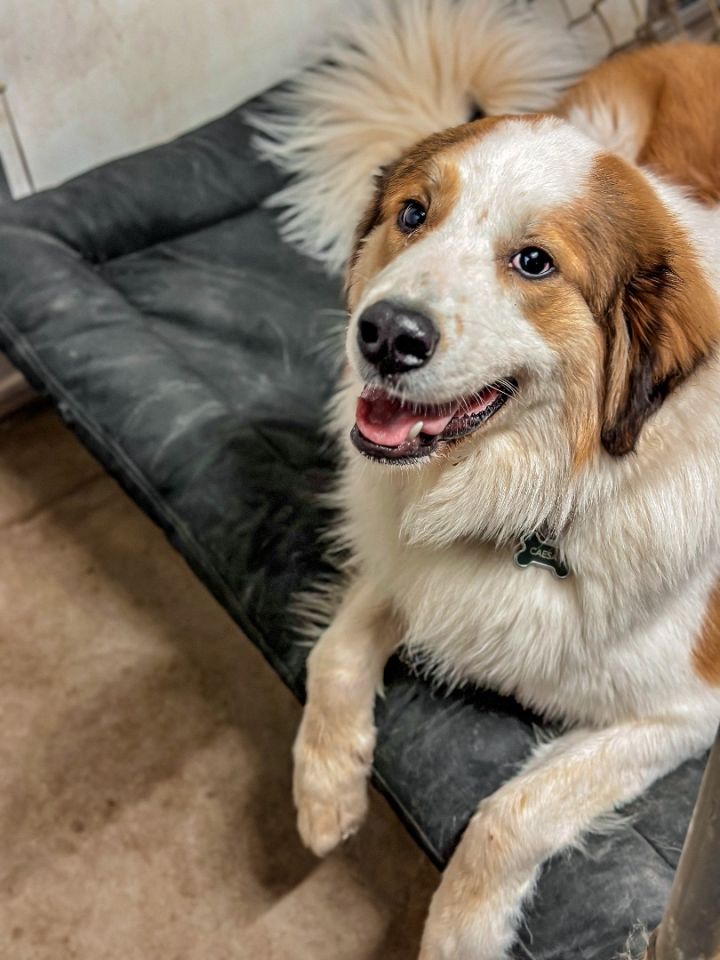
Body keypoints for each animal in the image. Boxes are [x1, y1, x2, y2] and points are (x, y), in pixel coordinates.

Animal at [256, 7, 720, 960]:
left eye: (534, 263)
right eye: (412, 214)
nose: (385, 335)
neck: (548, 494)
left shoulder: (689, 710)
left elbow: (510, 815)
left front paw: (458, 935)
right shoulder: (411, 564)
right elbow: (335, 654)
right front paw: (325, 790)